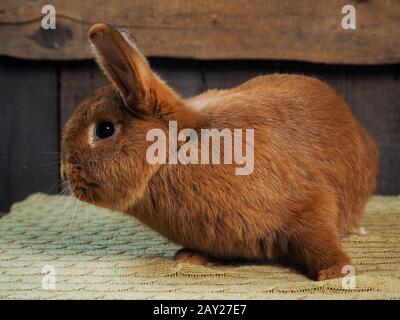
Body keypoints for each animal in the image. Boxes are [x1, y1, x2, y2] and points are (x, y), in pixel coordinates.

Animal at [60, 23, 378, 280]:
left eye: (104, 130)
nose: (66, 173)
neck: (176, 151)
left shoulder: (308, 204)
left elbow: (318, 237)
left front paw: (335, 273)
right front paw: (189, 257)